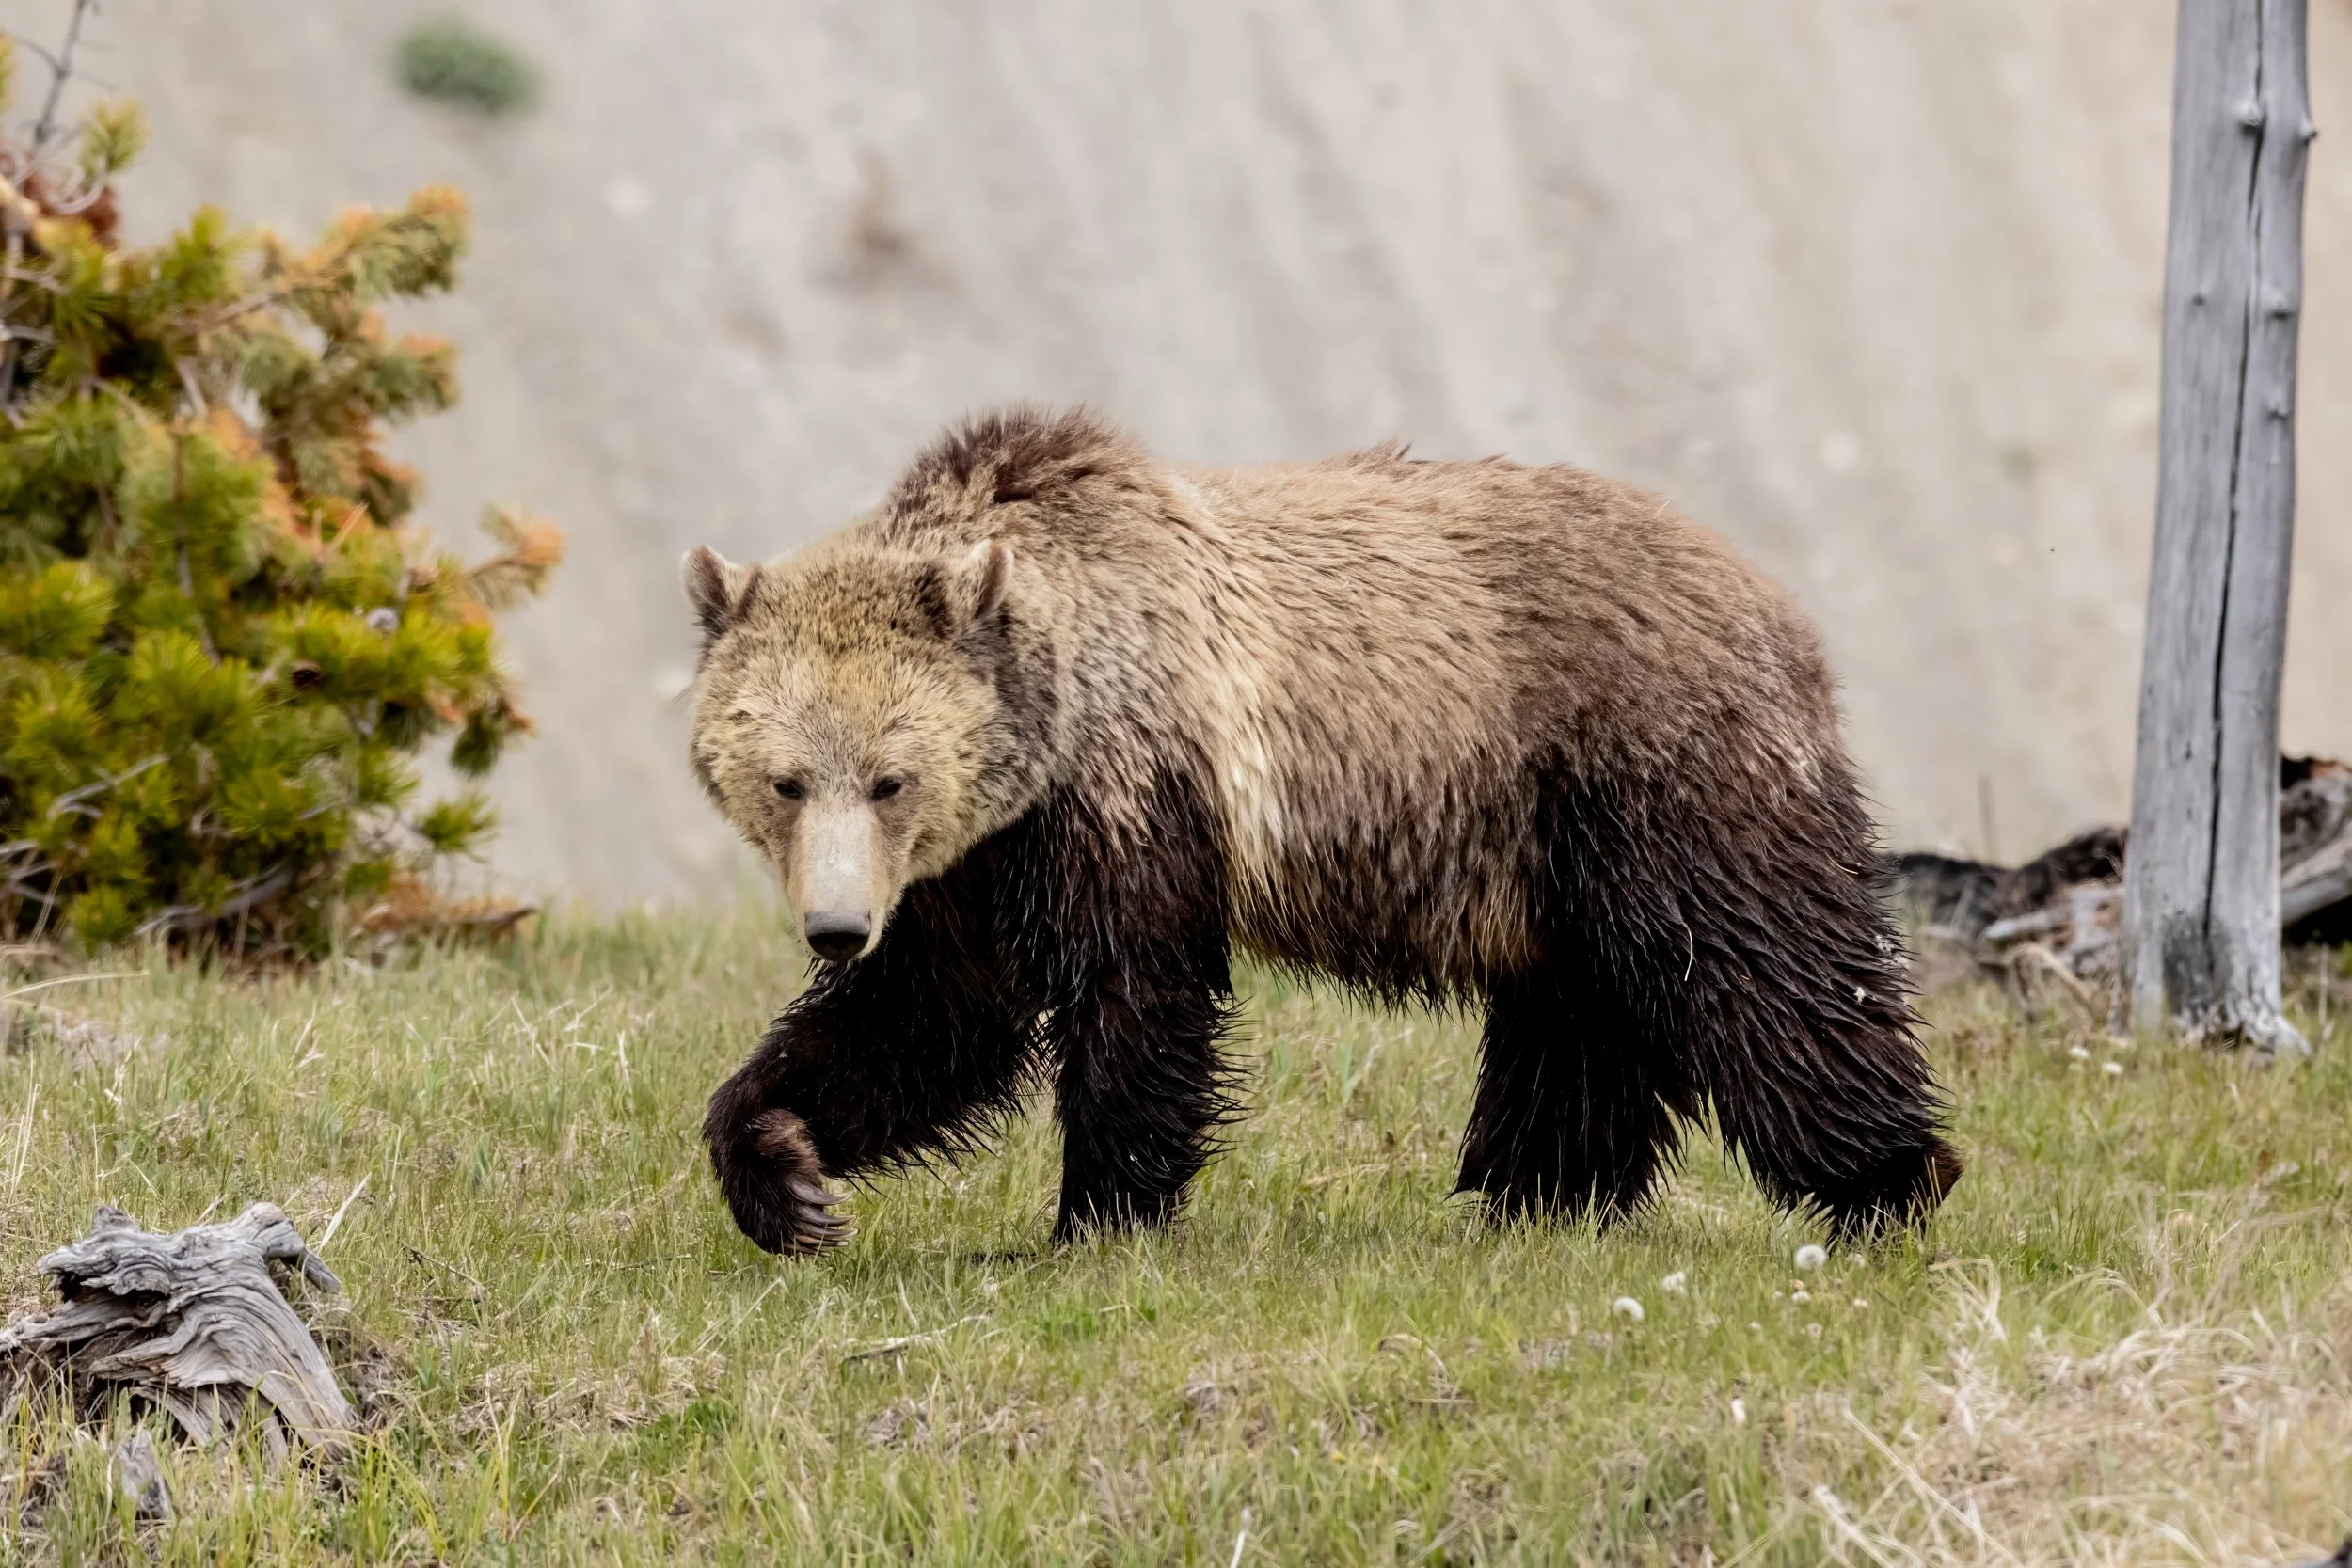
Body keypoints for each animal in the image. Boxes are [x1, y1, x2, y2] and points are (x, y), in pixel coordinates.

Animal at [684, 407, 1961, 1256]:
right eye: (785, 779)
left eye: (889, 777)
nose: (834, 926)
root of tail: (1774, 598)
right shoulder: (980, 860)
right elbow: (929, 1017)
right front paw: (789, 1174)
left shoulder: (1129, 791)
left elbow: (1130, 991)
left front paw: (1099, 1215)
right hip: (1553, 849)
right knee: (1578, 1009)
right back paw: (1538, 1195)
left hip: (1644, 766)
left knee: (1761, 968)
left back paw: (1889, 1179)